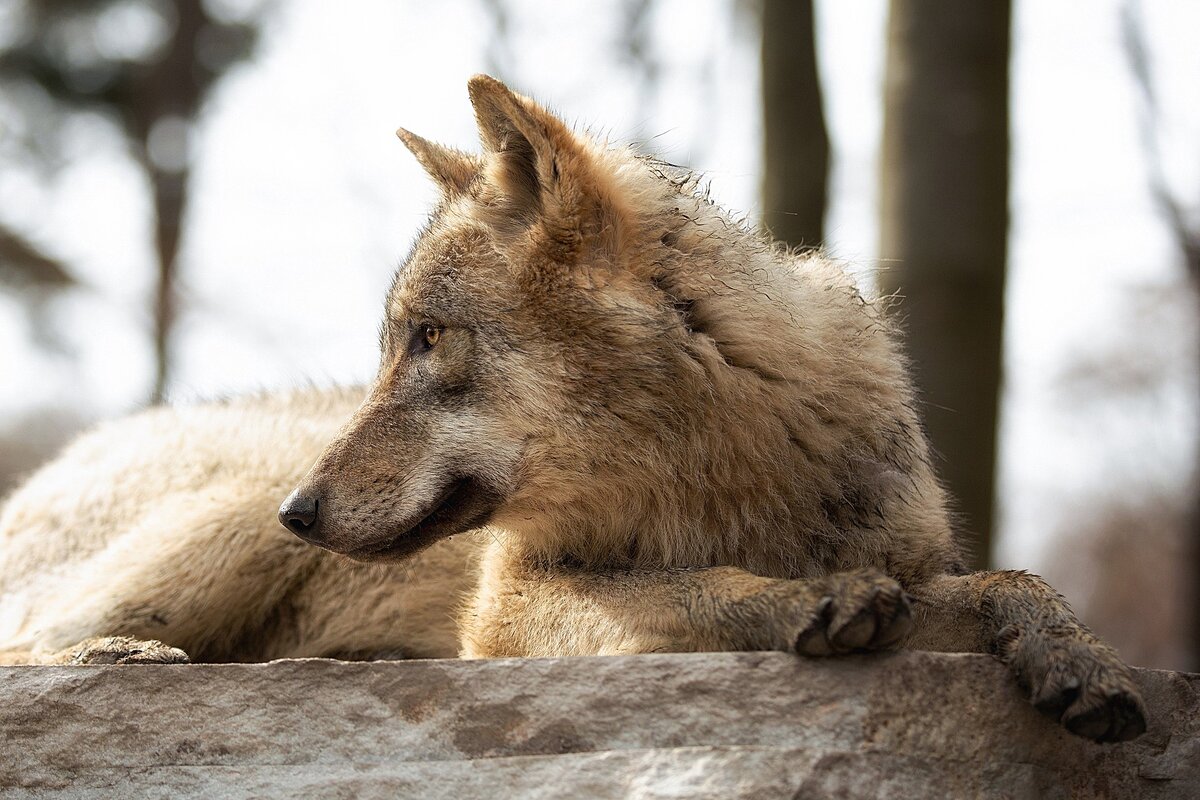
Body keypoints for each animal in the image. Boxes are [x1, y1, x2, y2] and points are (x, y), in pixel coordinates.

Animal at [0, 76, 1142, 743]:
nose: (302, 509)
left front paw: (1081, 656)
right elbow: (681, 591)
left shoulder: (919, 561)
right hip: (223, 529)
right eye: (395, 343)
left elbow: (1008, 580)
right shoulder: (509, 603)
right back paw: (119, 659)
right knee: (23, 646)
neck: (716, 473)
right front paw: (805, 600)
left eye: (427, 339)